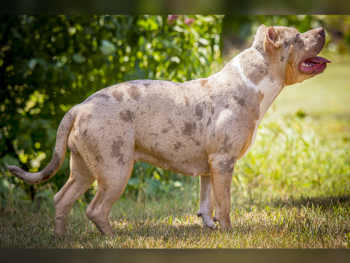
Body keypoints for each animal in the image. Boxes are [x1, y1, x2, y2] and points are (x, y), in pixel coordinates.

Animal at [7, 25, 330, 237]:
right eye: (298, 37)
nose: (322, 29)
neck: (252, 82)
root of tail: (80, 106)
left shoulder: (210, 167)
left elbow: (206, 202)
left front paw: (210, 228)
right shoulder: (223, 162)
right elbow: (224, 204)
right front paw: (228, 231)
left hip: (84, 169)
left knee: (62, 199)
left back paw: (61, 237)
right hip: (115, 170)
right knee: (95, 209)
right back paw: (113, 237)